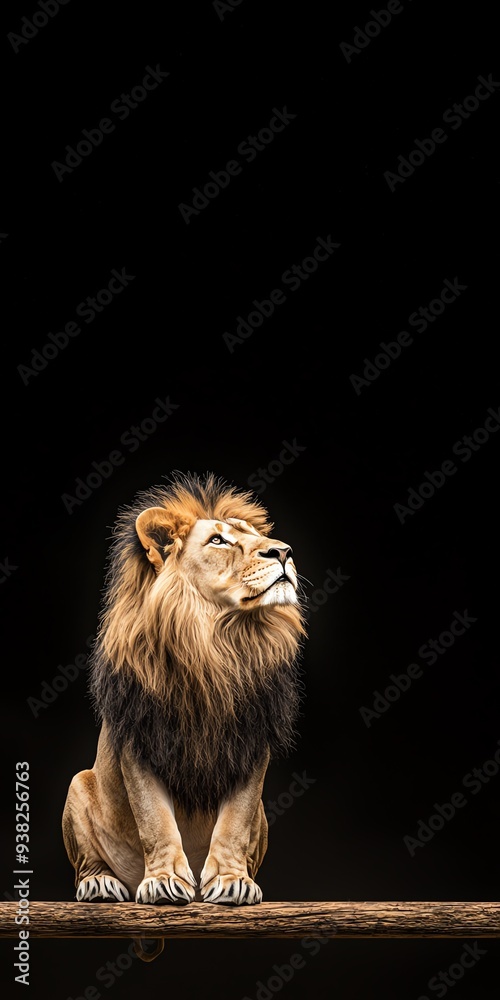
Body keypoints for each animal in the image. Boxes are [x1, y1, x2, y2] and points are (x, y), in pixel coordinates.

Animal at [62, 472, 306, 960]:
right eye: (218, 540)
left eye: (256, 536)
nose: (284, 552)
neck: (219, 640)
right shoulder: (139, 741)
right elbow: (155, 819)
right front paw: (164, 882)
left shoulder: (251, 745)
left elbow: (234, 821)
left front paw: (231, 882)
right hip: (78, 784)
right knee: (89, 864)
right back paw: (101, 884)